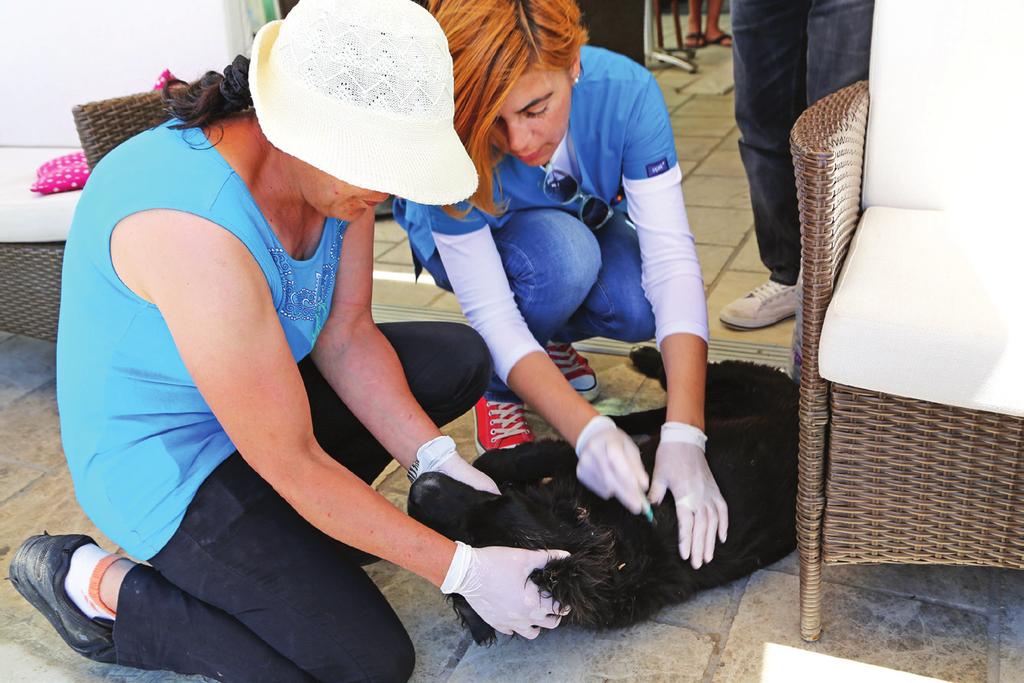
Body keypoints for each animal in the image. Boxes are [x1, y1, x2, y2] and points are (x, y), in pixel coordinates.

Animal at [407, 356, 798, 643]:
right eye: (458, 538)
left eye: (490, 511)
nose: (419, 488)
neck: (602, 537)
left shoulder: (577, 465)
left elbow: (506, 459)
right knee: (658, 416)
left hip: (725, 379)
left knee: (675, 383)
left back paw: (644, 360)